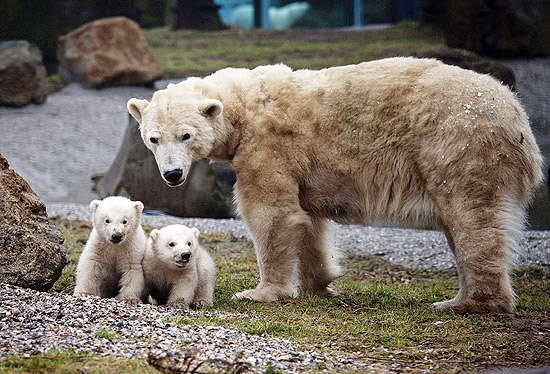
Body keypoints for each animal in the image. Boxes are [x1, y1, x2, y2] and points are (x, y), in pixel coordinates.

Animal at [128, 57, 544, 312]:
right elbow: (307, 219)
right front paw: (321, 283)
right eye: (153, 138)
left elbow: (271, 214)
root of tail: (516, 115)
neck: (244, 107)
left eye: (185, 135)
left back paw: (468, 303)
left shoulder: (268, 146)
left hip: (457, 144)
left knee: (473, 220)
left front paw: (262, 292)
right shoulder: (304, 167)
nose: (172, 175)